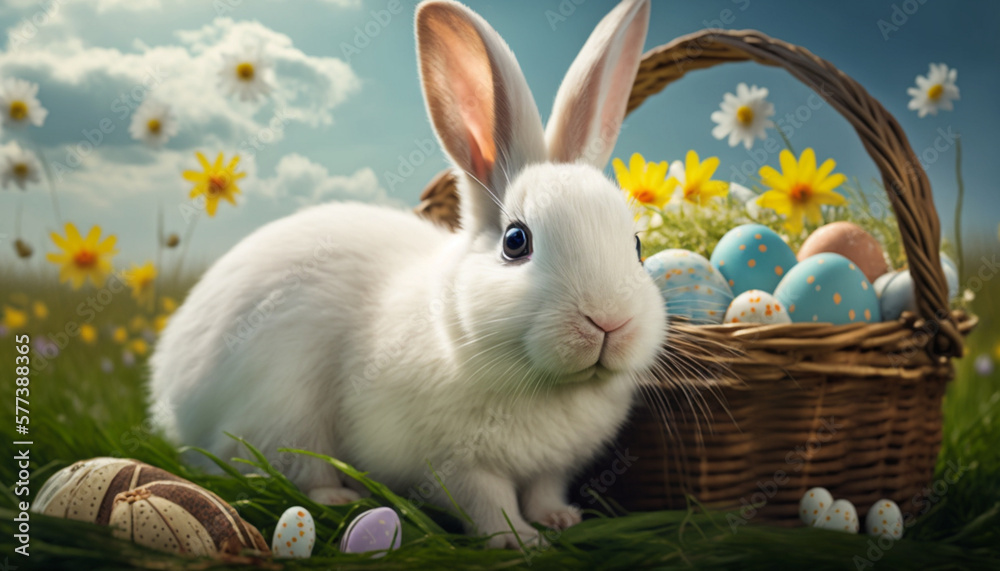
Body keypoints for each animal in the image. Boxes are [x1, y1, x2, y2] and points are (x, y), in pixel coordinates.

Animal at [149, 0, 661, 549]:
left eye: (636, 247)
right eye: (515, 242)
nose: (609, 321)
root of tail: (168, 386)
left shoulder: (551, 467)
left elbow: (542, 491)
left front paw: (560, 520)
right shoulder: (454, 466)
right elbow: (489, 504)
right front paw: (517, 541)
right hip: (277, 414)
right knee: (283, 468)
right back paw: (336, 498)